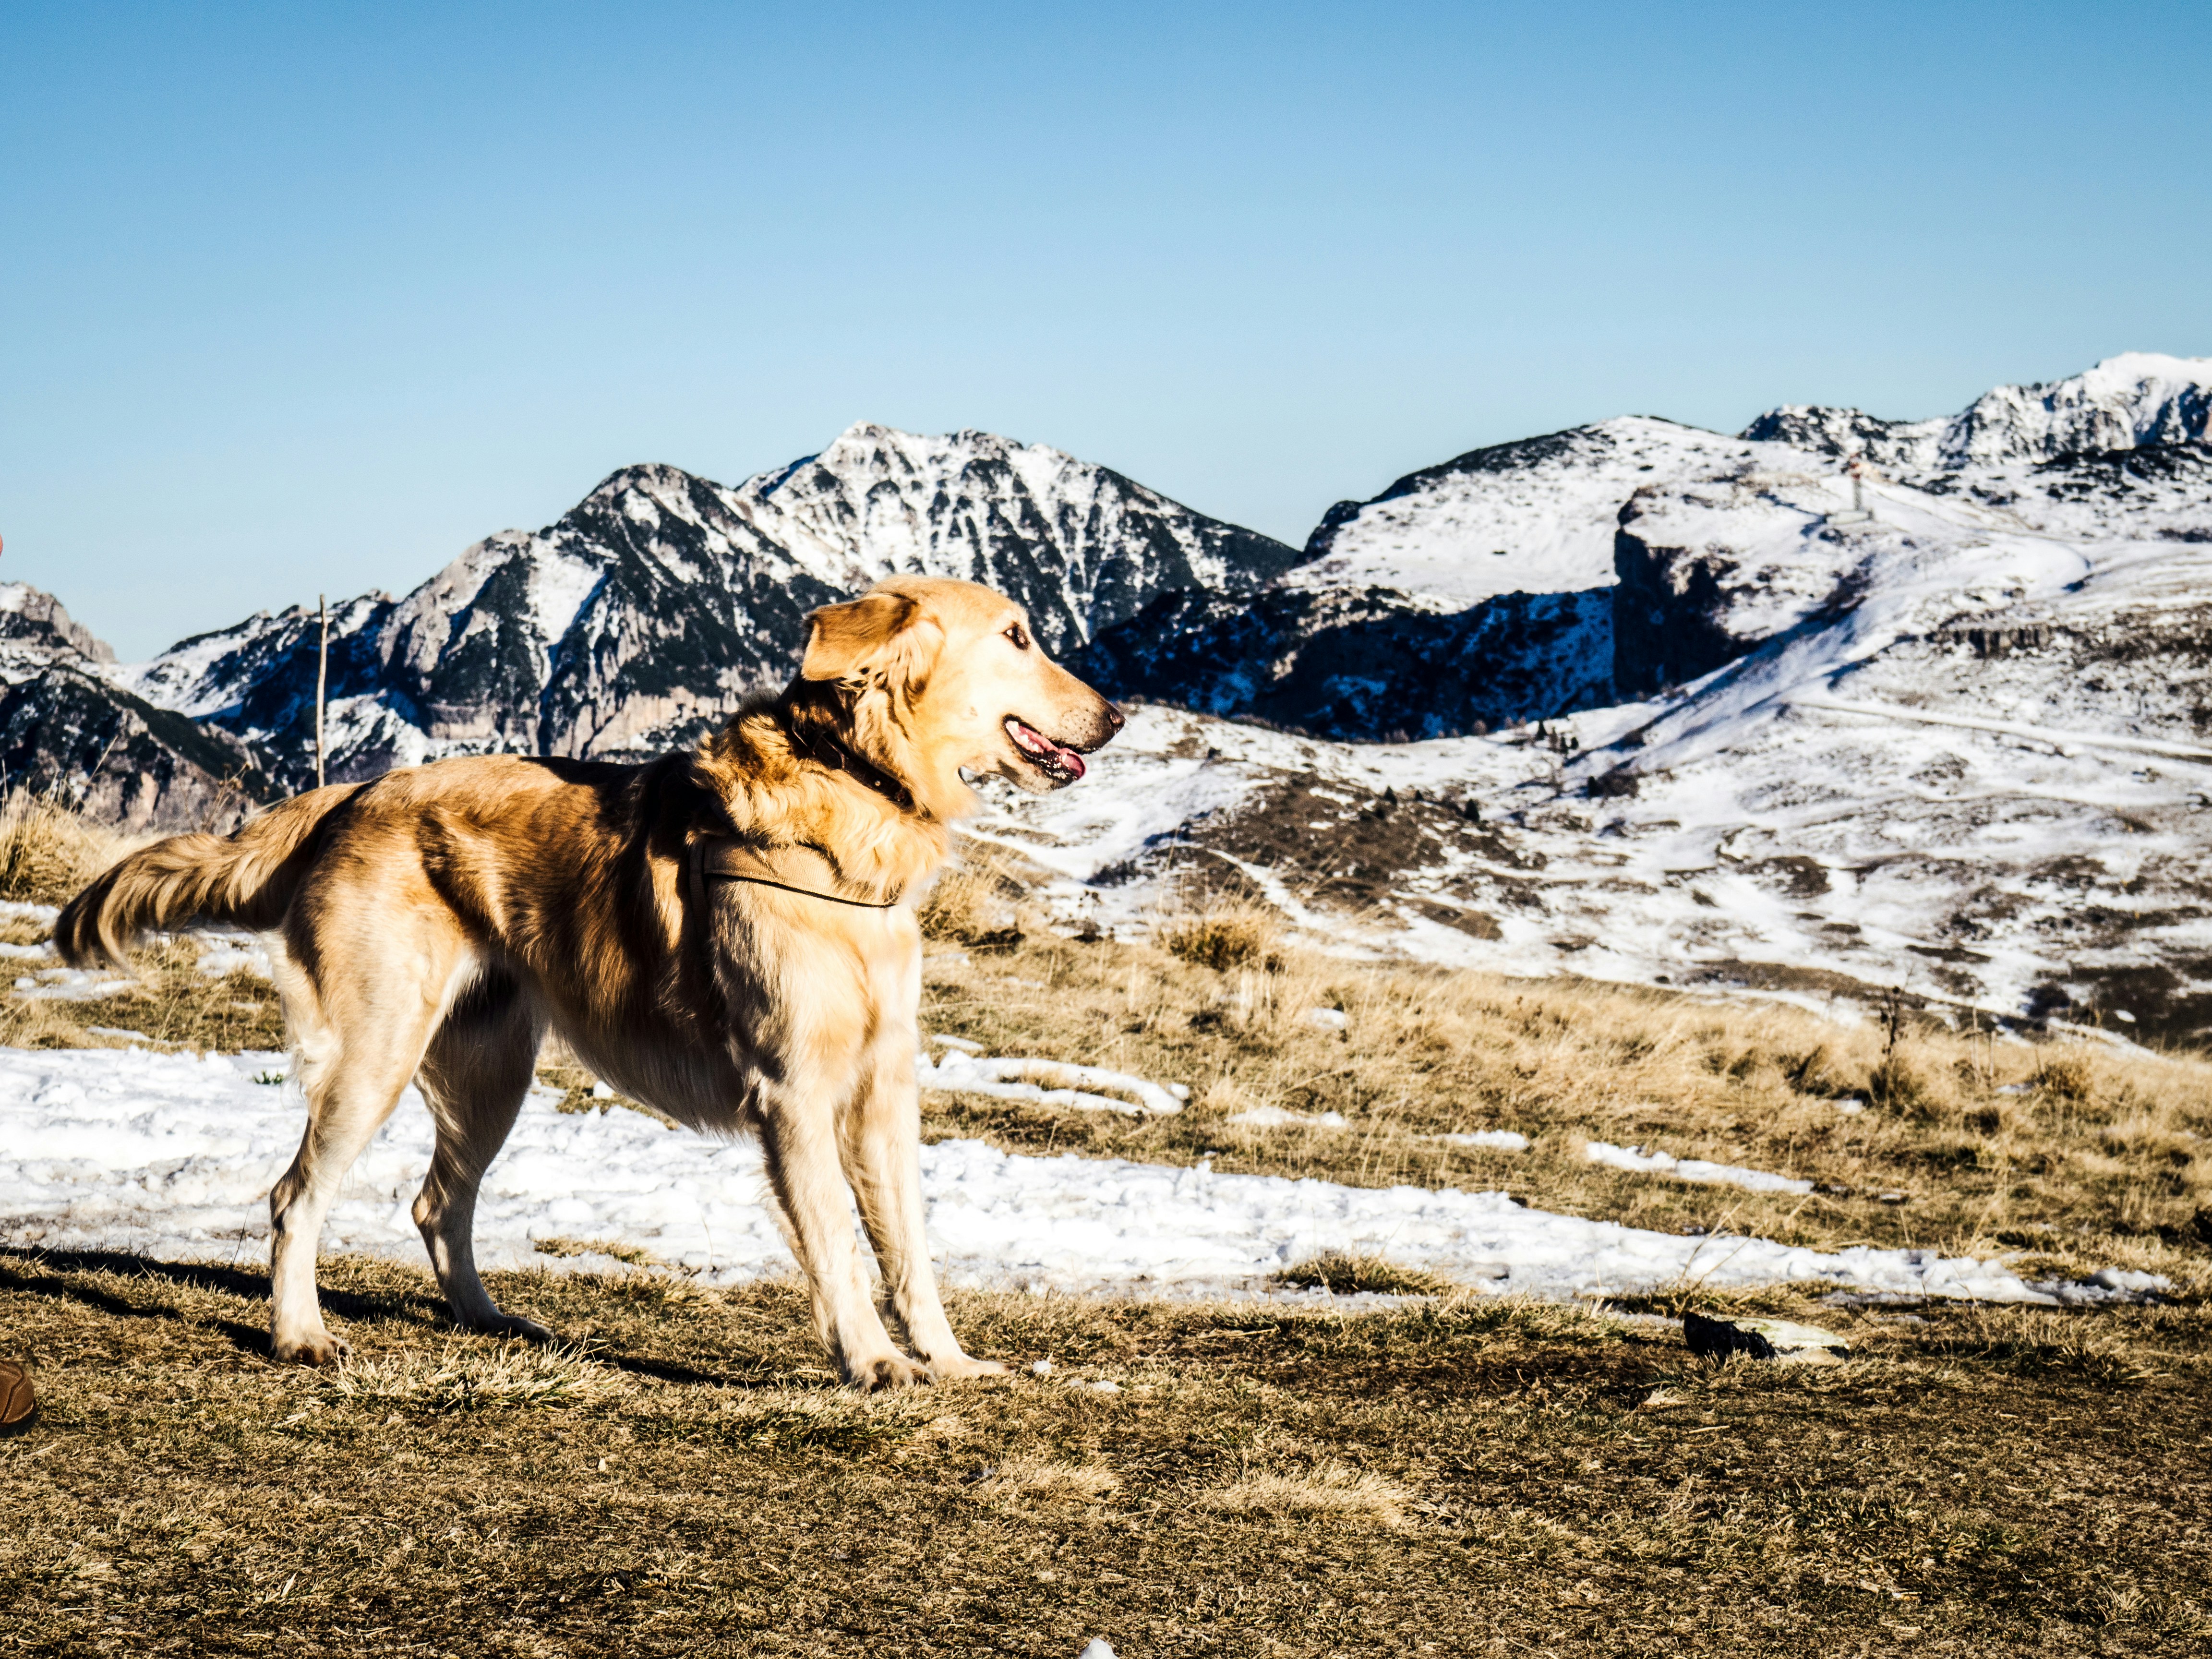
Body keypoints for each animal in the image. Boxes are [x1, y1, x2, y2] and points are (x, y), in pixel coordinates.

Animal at [56, 579, 1123, 1380]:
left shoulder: (883, 1093)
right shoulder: (794, 1094)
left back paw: (487, 1320)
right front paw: (871, 1361)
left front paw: (945, 1360)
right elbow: (838, 1249)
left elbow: (909, 1251)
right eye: (1018, 637)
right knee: (295, 1199)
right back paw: (300, 1334)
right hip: (377, 1054)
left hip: (491, 1075)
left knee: (437, 1204)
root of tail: (357, 792)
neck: (854, 791)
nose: (1117, 715)